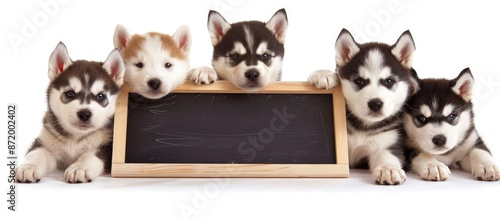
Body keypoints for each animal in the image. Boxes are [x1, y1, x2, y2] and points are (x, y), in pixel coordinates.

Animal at [15, 42, 126, 183]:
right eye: (70, 94)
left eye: (100, 96)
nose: (84, 114)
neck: (76, 137)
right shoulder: (45, 142)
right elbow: (37, 152)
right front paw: (29, 166)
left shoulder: (108, 148)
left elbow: (90, 155)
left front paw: (80, 168)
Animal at [308, 29, 418, 185]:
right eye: (359, 81)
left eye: (389, 81)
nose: (375, 103)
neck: (363, 127)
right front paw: (323, 74)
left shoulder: (387, 142)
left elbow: (387, 155)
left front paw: (388, 169)